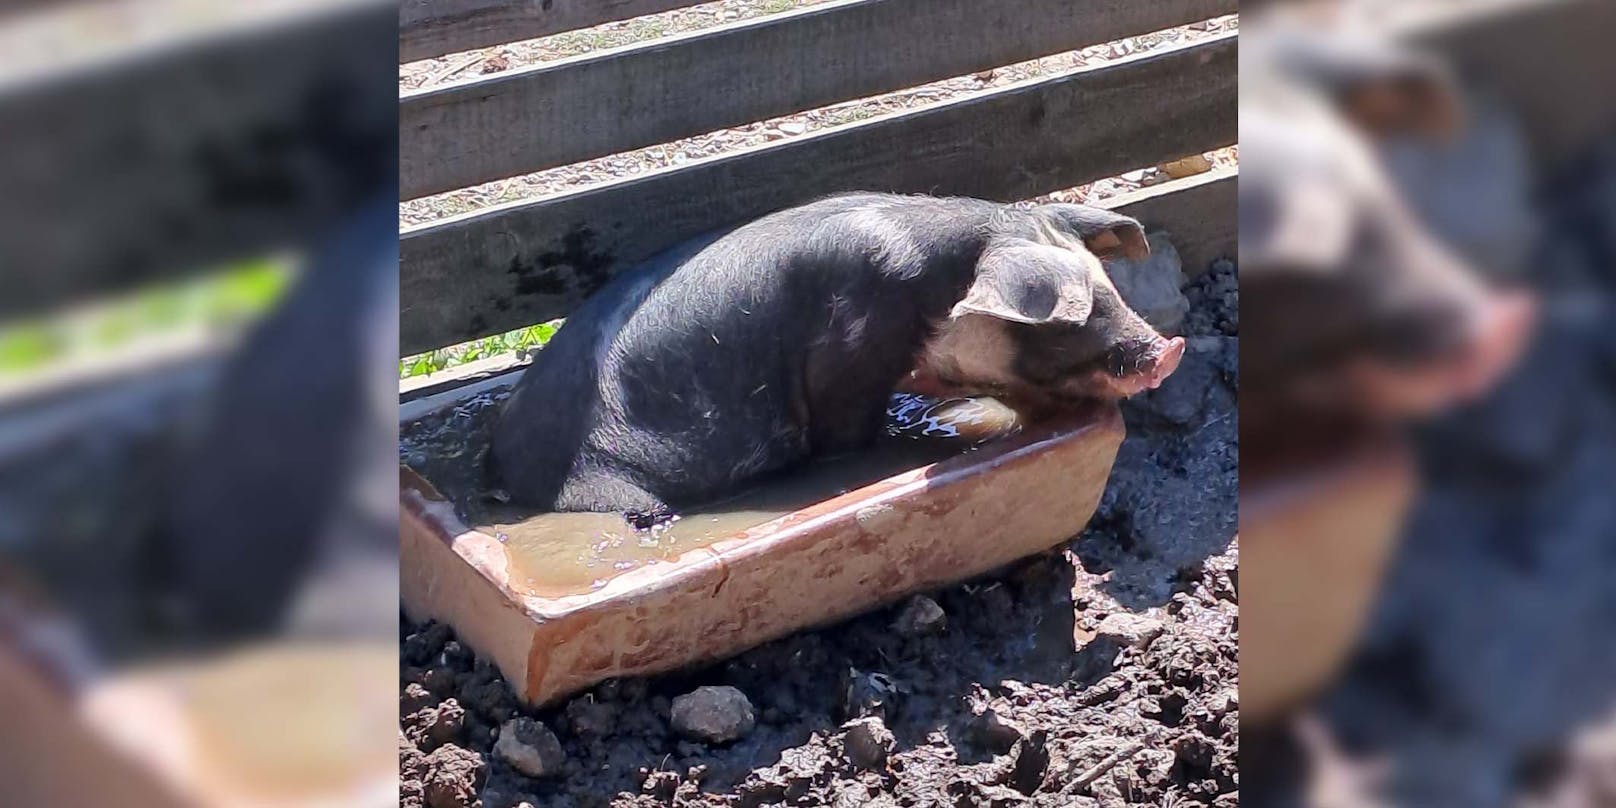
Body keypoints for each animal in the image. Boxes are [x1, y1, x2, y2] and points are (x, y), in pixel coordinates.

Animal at [484, 194, 1182, 523]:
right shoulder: (850, 365)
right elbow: (846, 436)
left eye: (1108, 285)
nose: (1166, 352)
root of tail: (519, 473)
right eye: (1069, 318)